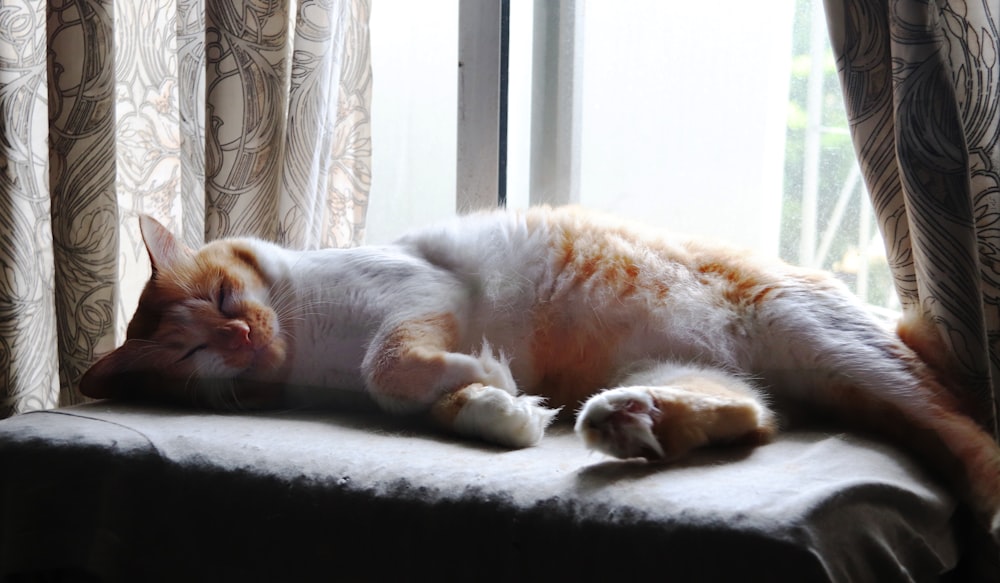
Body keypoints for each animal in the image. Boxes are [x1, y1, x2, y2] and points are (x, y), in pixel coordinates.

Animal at [78, 208, 1000, 540]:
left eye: (223, 297)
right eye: (191, 354)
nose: (237, 334)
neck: (309, 350)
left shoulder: (422, 294)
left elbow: (388, 366)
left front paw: (489, 375)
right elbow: (439, 397)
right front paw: (506, 410)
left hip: (830, 339)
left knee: (968, 435)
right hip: (697, 371)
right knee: (749, 417)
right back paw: (627, 420)